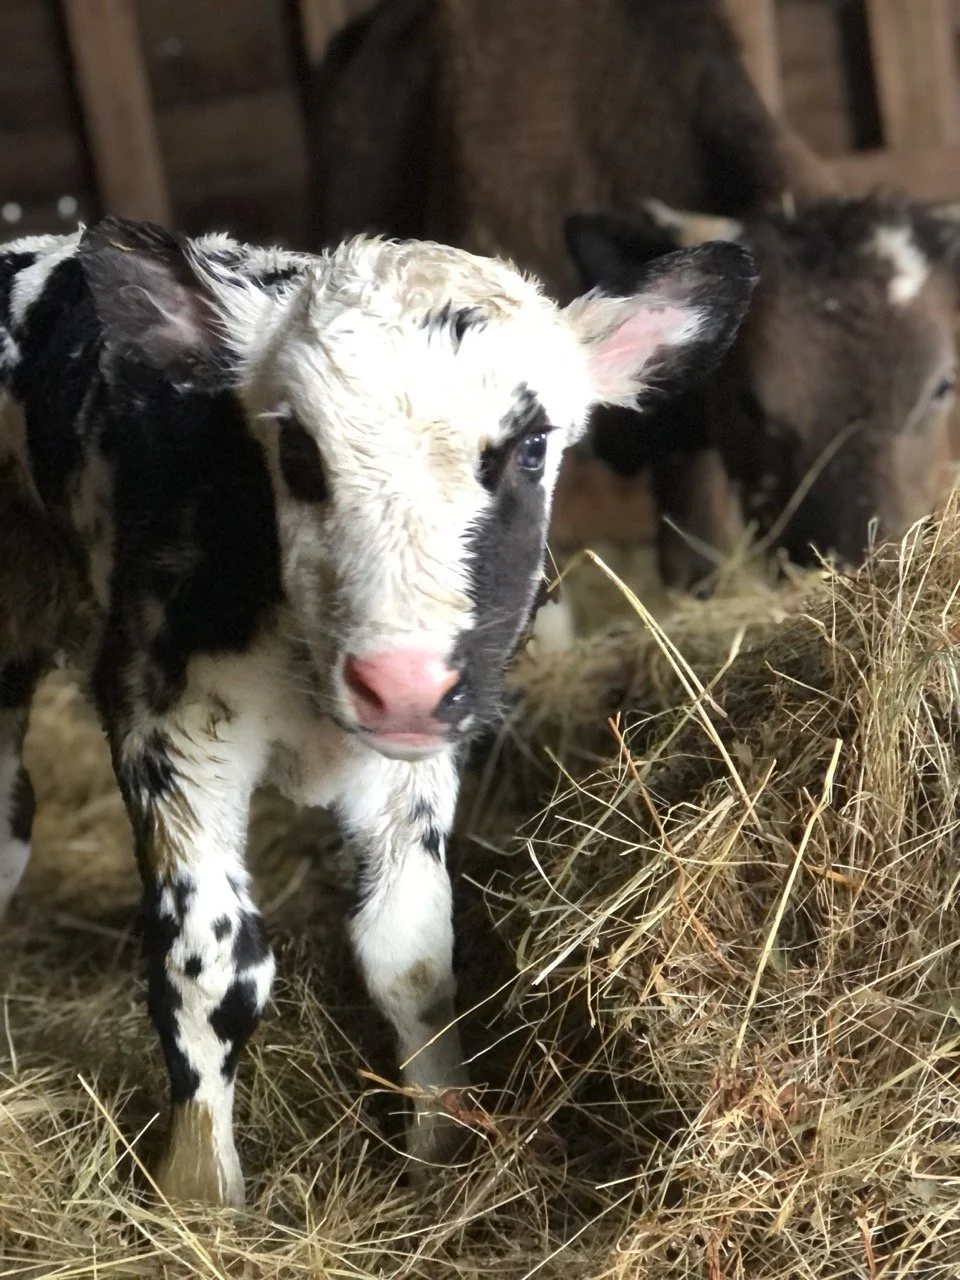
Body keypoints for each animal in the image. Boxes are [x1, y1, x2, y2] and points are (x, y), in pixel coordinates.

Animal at [0, 217, 755, 1204]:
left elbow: (412, 952)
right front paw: (200, 1189)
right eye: (295, 453)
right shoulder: (167, 724)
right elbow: (210, 965)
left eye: (532, 447)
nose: (401, 683)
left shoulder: (416, 768)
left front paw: (444, 1146)